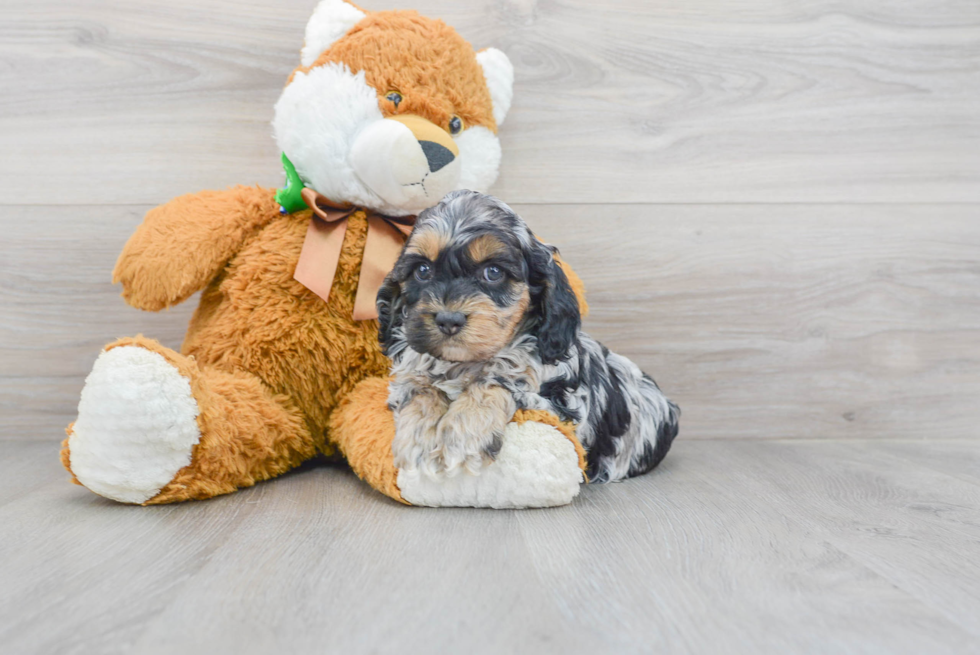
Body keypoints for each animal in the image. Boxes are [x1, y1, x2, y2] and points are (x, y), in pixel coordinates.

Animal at [378, 190, 680, 482]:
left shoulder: (564, 410)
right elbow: (421, 389)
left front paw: (462, 436)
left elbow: (496, 383)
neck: (464, 364)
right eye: (422, 270)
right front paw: (419, 439)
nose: (448, 320)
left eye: (493, 272)